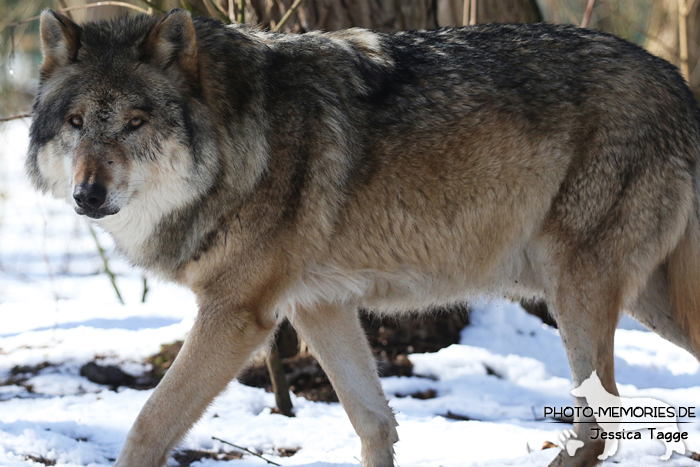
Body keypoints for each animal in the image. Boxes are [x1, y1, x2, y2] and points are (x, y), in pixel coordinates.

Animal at [24, 10, 700, 467]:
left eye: (135, 123)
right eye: (76, 122)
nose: (87, 195)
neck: (245, 142)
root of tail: (678, 83)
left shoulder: (238, 315)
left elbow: (147, 424)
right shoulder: (320, 307)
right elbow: (373, 423)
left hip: (578, 293)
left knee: (596, 428)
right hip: (648, 305)